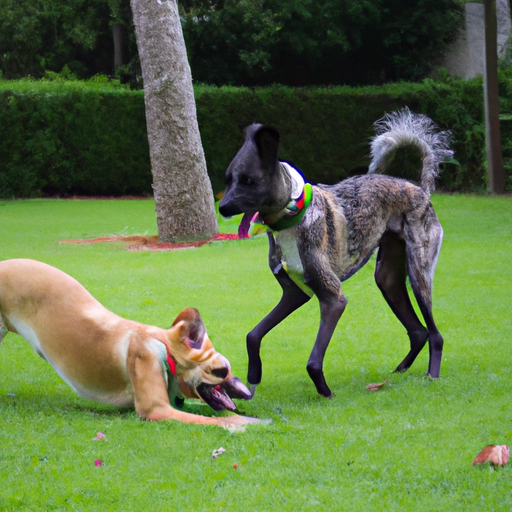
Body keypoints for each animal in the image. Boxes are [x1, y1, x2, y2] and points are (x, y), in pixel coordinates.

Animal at [0, 258, 256, 426]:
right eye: (221, 370)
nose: (248, 392)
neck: (165, 350)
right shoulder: (155, 408)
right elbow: (217, 420)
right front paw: (246, 422)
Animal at [218, 108, 450, 398]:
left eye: (248, 181)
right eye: (228, 179)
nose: (222, 207)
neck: (294, 214)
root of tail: (420, 190)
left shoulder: (333, 298)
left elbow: (313, 361)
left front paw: (325, 392)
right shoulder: (295, 294)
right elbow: (253, 335)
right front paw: (253, 377)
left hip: (419, 275)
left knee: (435, 334)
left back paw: (432, 375)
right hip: (387, 280)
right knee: (418, 332)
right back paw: (400, 370)